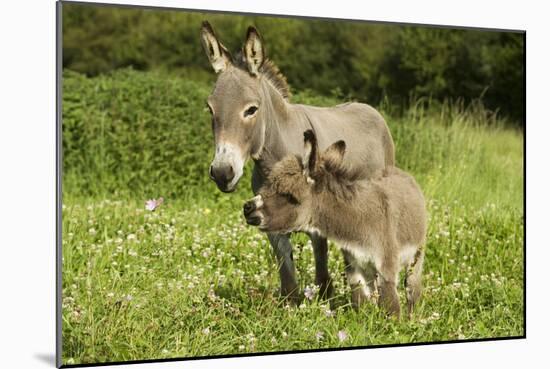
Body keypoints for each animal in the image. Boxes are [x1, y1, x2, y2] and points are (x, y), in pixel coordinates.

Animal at [244, 129, 430, 316]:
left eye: (289, 196)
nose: (247, 208)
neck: (361, 222)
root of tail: (400, 173)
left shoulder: (386, 268)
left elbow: (391, 310)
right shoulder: (354, 267)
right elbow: (360, 304)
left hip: (416, 255)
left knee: (412, 290)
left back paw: (412, 316)